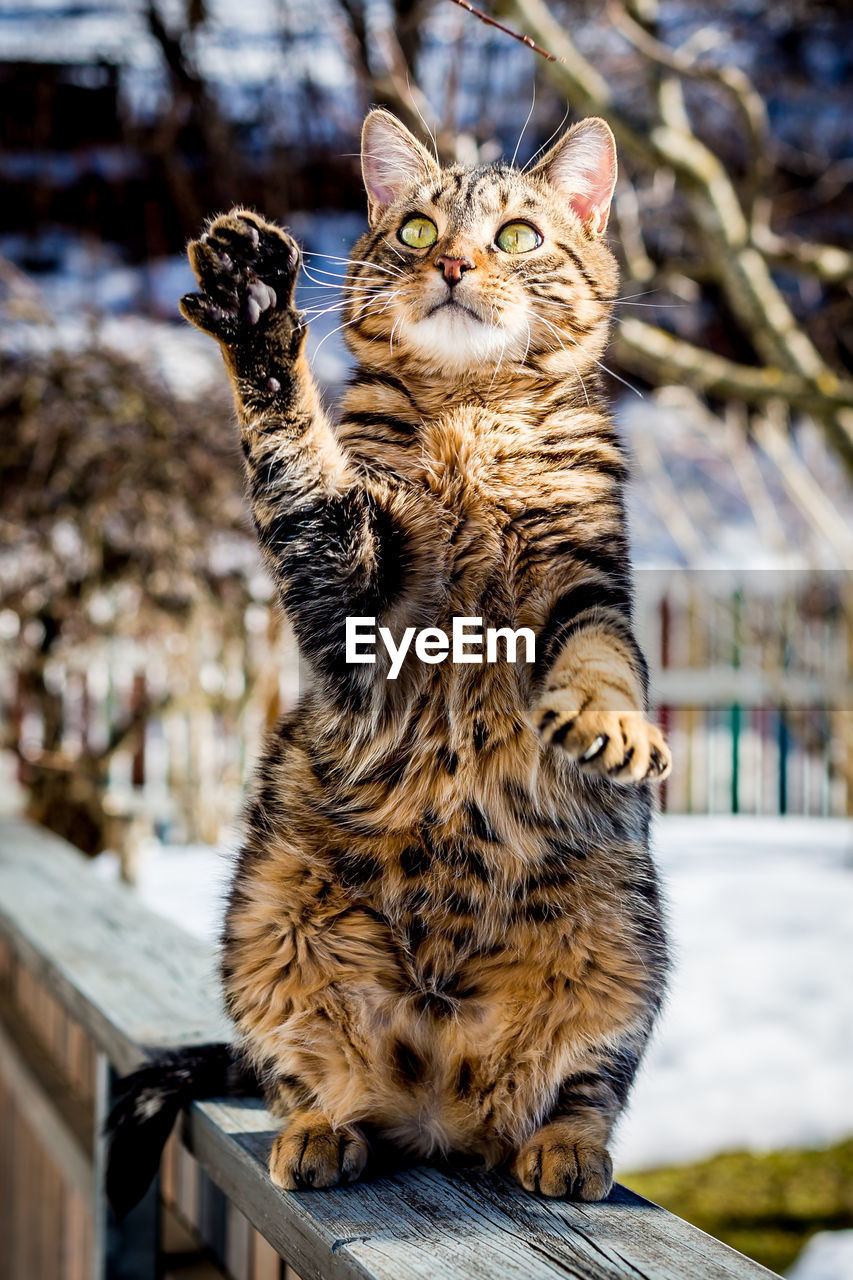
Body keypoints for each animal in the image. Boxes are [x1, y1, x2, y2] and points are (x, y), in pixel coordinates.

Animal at [172, 107, 666, 1198]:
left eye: (516, 235)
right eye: (413, 230)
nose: (449, 260)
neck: (472, 418)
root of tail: (442, 1106)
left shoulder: (587, 583)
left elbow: (603, 661)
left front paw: (609, 725)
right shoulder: (349, 585)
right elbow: (297, 458)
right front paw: (255, 307)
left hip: (622, 944)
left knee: (586, 1085)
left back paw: (567, 1149)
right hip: (263, 928)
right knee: (300, 1077)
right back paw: (320, 1131)